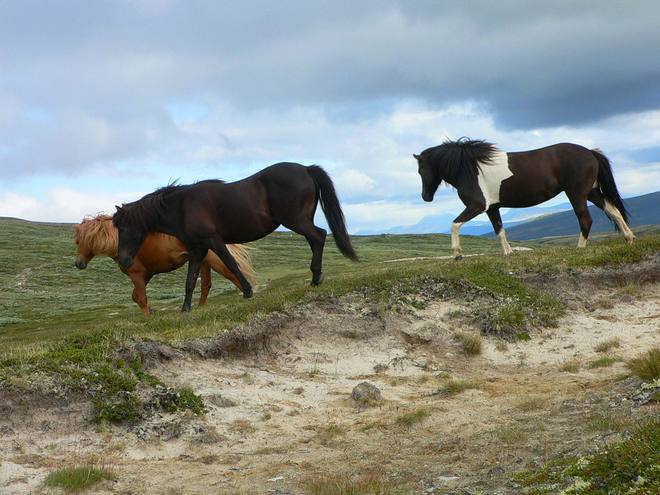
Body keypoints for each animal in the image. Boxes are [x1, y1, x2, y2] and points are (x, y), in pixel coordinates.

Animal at [74, 215, 255, 316]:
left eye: (81, 241)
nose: (78, 264)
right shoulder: (145, 275)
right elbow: (136, 297)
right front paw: (152, 312)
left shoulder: (137, 274)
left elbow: (141, 298)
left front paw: (148, 316)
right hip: (204, 262)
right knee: (206, 285)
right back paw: (200, 308)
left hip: (214, 261)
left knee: (231, 273)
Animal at [116, 167, 358, 314]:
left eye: (123, 228)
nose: (123, 260)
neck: (183, 207)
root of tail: (306, 169)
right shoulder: (198, 249)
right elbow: (190, 279)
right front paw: (186, 309)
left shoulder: (213, 241)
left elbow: (231, 264)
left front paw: (247, 291)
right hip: (301, 220)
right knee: (315, 239)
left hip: (296, 221)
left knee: (319, 236)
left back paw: (316, 277)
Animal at [412, 138, 636, 258]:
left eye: (421, 170)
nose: (426, 197)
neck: (469, 169)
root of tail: (590, 152)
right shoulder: (492, 208)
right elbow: (500, 230)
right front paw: (509, 253)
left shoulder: (478, 206)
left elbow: (455, 224)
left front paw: (457, 254)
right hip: (591, 192)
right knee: (613, 210)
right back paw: (629, 238)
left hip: (577, 194)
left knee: (585, 219)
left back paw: (579, 249)